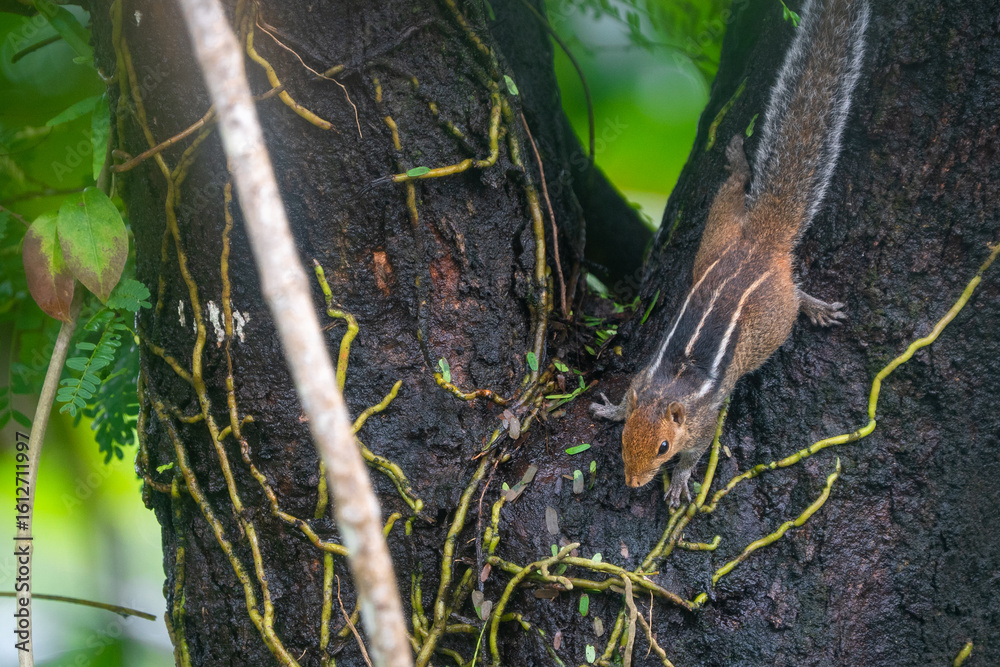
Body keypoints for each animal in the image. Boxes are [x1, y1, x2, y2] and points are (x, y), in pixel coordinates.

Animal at [591, 0, 870, 507]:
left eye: (662, 447)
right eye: (625, 440)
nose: (633, 482)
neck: (668, 389)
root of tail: (759, 242)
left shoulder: (703, 423)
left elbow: (698, 452)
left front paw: (680, 481)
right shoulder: (642, 380)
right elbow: (626, 398)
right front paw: (610, 409)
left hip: (776, 312)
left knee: (795, 295)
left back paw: (817, 307)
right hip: (717, 231)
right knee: (733, 186)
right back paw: (739, 159)